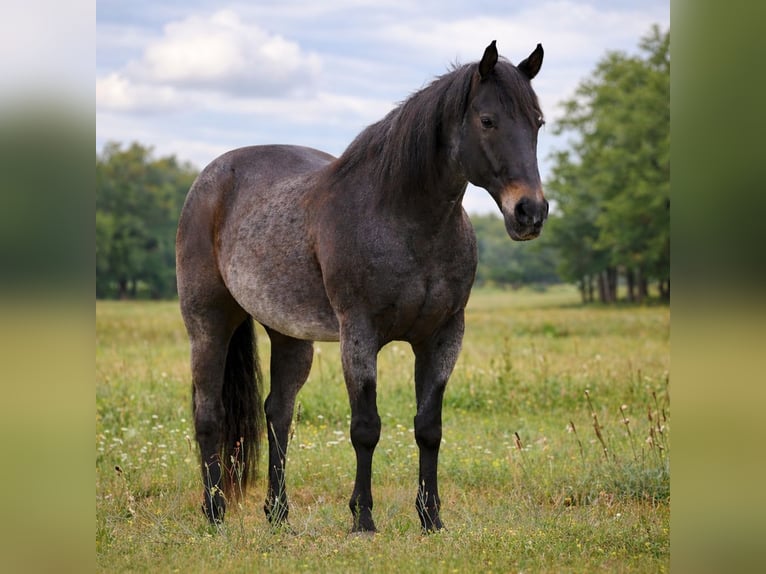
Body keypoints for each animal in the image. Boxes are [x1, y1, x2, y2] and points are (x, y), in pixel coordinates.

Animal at [176, 40, 547, 533]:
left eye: (537, 122)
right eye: (487, 120)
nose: (530, 212)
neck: (404, 220)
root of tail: (210, 178)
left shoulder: (443, 335)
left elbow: (429, 427)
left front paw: (431, 518)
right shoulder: (359, 334)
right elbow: (365, 428)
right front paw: (363, 519)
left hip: (289, 336)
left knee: (278, 413)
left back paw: (278, 514)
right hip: (208, 323)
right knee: (209, 414)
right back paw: (215, 512)